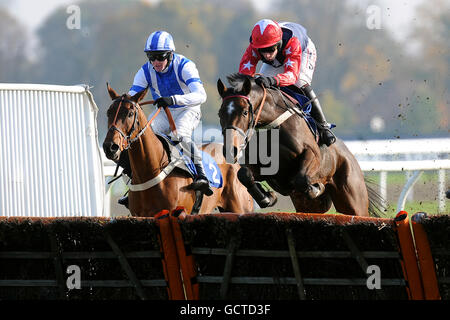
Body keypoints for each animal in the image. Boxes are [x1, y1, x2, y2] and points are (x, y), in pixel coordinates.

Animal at [216, 73, 382, 216]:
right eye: (220, 113)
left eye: (244, 112)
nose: (231, 150)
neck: (273, 126)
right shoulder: (265, 168)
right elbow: (243, 174)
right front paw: (267, 198)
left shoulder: (312, 154)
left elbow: (301, 178)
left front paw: (316, 188)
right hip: (309, 206)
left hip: (353, 200)